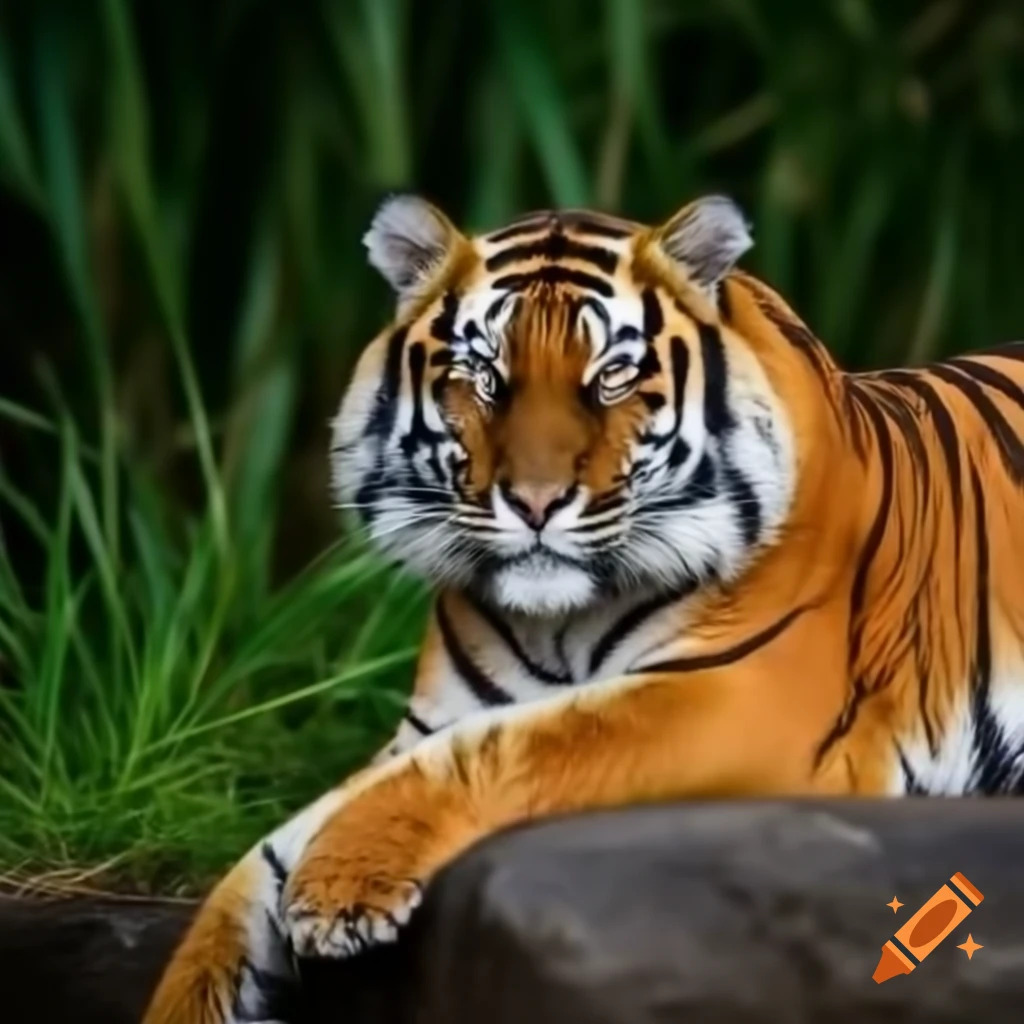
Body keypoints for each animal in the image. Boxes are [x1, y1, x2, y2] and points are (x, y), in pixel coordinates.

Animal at [143, 192, 1024, 1023]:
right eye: (485, 378)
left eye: (611, 378)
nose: (535, 503)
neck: (556, 623)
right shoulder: (425, 727)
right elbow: (256, 869)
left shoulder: (737, 697)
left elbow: (510, 747)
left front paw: (336, 889)